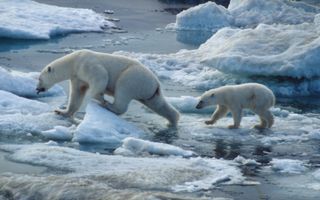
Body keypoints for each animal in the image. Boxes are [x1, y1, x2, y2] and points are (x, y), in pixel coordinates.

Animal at [37, 49, 180, 126]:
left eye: (39, 79)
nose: (37, 89)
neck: (73, 62)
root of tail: (156, 83)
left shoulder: (87, 65)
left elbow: (101, 77)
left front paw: (99, 98)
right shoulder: (77, 77)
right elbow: (76, 94)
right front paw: (61, 111)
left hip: (133, 78)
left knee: (122, 92)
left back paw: (108, 105)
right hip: (149, 91)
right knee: (159, 104)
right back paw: (172, 120)